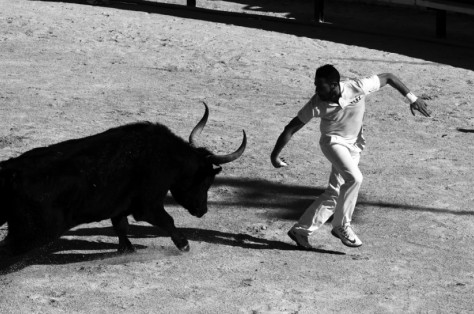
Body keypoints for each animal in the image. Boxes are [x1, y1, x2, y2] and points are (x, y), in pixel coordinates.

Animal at [0, 103, 244, 255]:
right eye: (206, 181)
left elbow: (120, 226)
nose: (203, 211)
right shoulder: (148, 205)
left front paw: (127, 248)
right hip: (31, 232)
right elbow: (167, 221)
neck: (168, 156)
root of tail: (11, 168)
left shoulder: (119, 206)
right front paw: (184, 245)